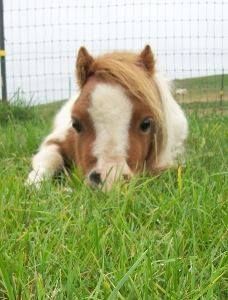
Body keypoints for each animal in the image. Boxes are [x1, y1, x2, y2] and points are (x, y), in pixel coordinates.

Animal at [26, 44, 188, 190]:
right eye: (76, 123)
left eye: (146, 123)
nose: (110, 179)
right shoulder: (56, 140)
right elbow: (49, 158)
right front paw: (34, 184)